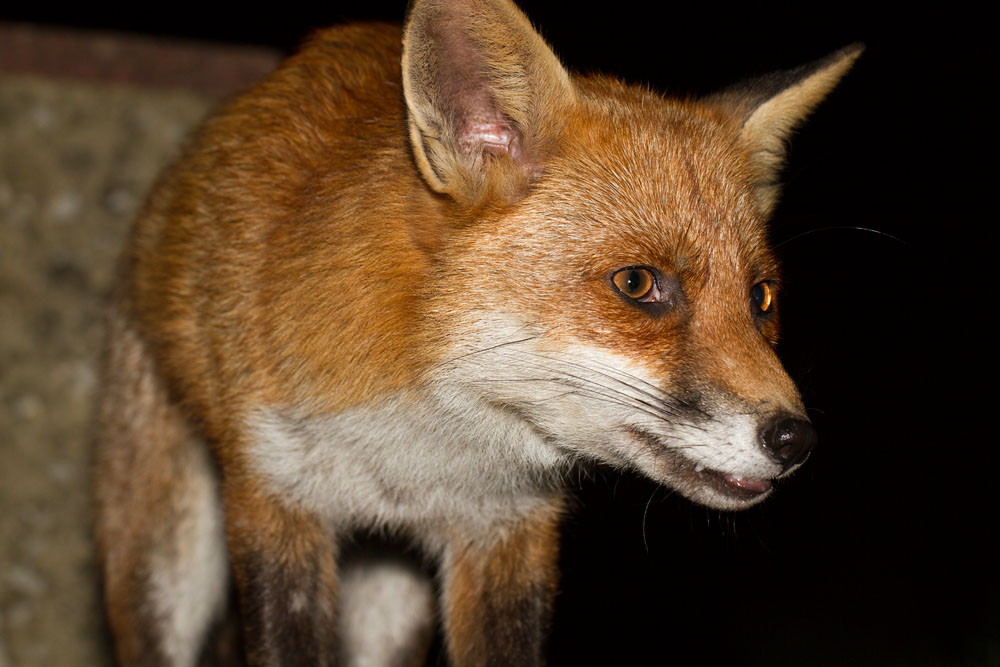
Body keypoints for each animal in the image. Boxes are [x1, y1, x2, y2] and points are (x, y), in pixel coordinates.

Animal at [93, 0, 860, 665]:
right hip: (167, 558)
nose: (796, 441)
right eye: (640, 284)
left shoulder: (507, 534)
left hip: (389, 605)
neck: (420, 447)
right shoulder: (275, 503)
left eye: (762, 299)